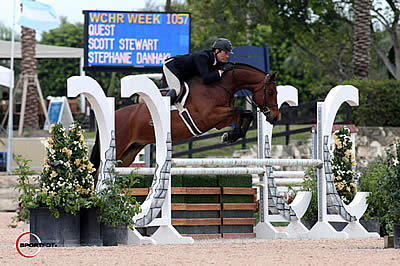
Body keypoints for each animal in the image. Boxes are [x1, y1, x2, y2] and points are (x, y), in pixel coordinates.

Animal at [89, 62, 280, 175]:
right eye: (271, 92)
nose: (275, 117)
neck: (220, 85)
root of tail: (111, 115)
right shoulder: (210, 116)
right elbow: (243, 112)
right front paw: (230, 136)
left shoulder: (219, 120)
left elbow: (245, 114)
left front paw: (231, 136)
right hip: (119, 147)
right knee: (98, 171)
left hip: (129, 152)